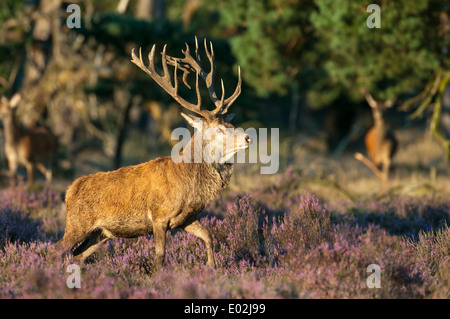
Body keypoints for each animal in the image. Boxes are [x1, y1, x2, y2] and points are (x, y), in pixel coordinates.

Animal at [56, 37, 251, 270]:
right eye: (220, 129)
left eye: (231, 124)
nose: (247, 138)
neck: (189, 183)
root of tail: (69, 190)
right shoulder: (159, 216)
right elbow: (160, 255)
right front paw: (159, 275)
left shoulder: (187, 218)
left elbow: (208, 236)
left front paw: (212, 268)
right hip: (77, 224)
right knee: (55, 249)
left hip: (100, 233)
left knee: (78, 254)